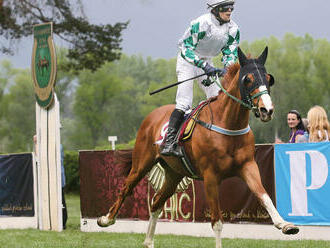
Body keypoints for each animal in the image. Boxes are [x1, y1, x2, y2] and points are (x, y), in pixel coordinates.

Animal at [96, 47, 300, 248]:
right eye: (248, 79)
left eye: (268, 78)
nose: (267, 110)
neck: (228, 124)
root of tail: (152, 116)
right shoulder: (211, 176)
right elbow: (217, 222)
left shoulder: (248, 166)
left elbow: (263, 194)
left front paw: (285, 224)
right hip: (142, 163)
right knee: (126, 188)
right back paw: (106, 219)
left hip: (174, 173)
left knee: (156, 203)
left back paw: (148, 241)